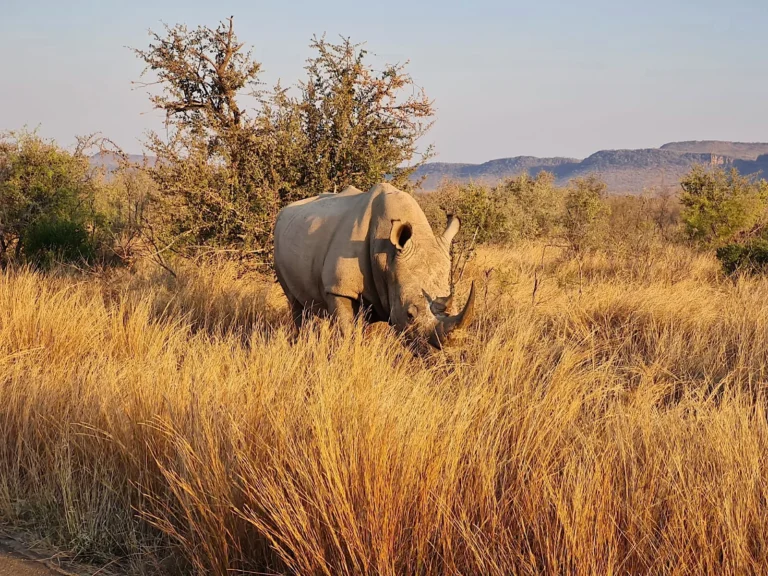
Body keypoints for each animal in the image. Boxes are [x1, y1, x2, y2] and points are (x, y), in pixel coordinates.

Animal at [273, 182, 475, 347]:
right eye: (409, 315)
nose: (442, 351)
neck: (387, 256)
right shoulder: (339, 288)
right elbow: (346, 332)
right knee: (295, 303)